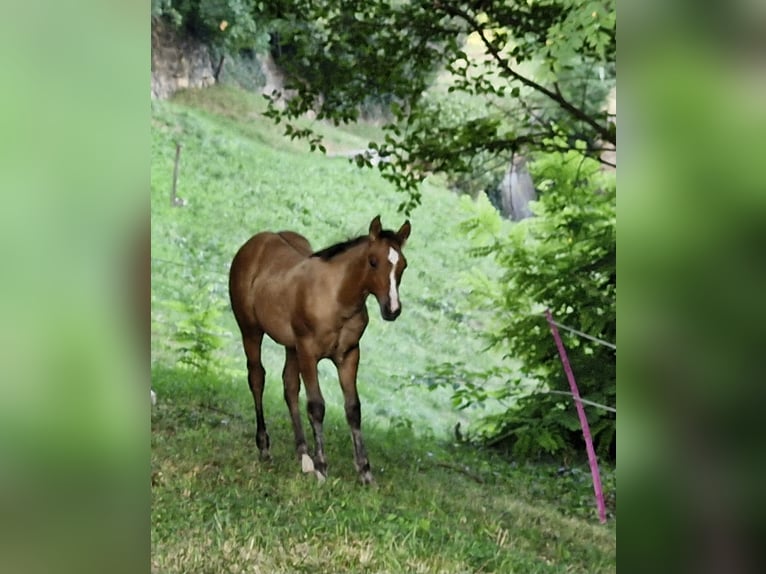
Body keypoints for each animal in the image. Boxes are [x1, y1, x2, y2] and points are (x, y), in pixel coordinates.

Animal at [231, 216, 412, 486]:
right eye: (373, 261)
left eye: (403, 265)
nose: (392, 309)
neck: (337, 299)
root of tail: (253, 243)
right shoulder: (308, 351)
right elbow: (316, 406)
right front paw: (322, 468)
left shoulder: (349, 355)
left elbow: (353, 409)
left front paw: (365, 471)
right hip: (251, 330)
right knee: (257, 378)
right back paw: (264, 448)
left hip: (291, 346)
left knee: (289, 386)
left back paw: (303, 455)